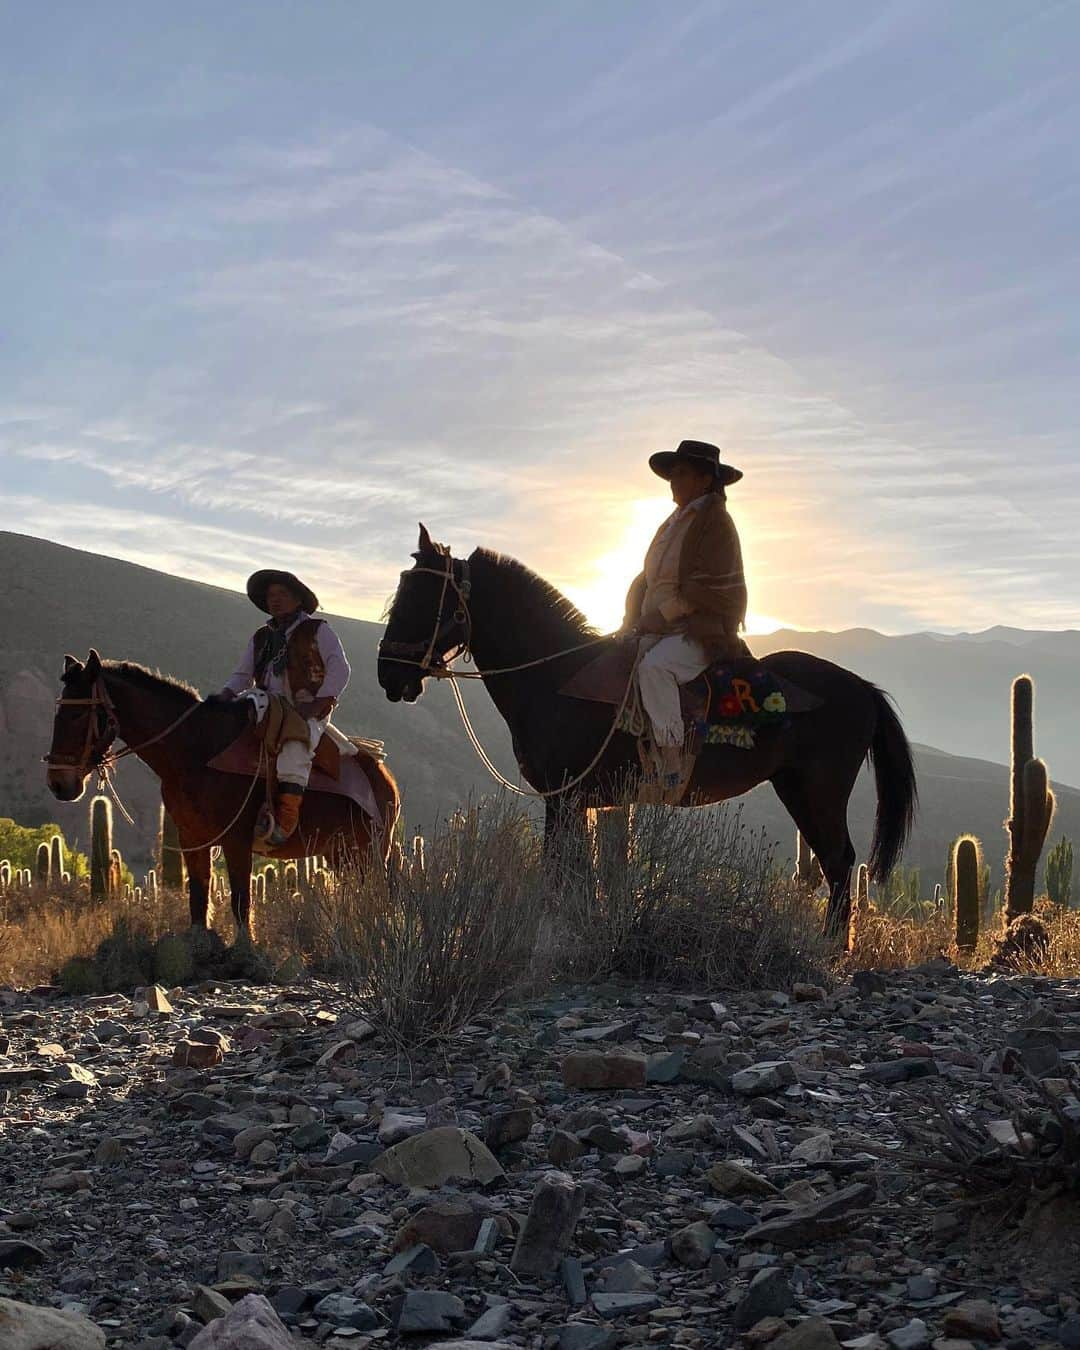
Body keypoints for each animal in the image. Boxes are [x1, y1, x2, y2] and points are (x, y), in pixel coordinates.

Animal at [44, 650, 399, 939]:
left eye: (77, 714)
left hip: (369, 851)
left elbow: (241, 900)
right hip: (340, 854)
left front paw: (246, 952)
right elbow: (199, 897)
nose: (58, 783)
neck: (196, 750)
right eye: (58, 713)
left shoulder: (236, 839)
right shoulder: (192, 838)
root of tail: (384, 776)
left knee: (378, 896)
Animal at [375, 526, 918, 939]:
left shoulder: (564, 798)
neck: (555, 676)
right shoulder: (581, 803)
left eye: (424, 597)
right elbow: (579, 871)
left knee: (840, 862)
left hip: (817, 791)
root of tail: (862, 688)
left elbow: (559, 871)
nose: (387, 675)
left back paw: (830, 948)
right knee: (834, 864)